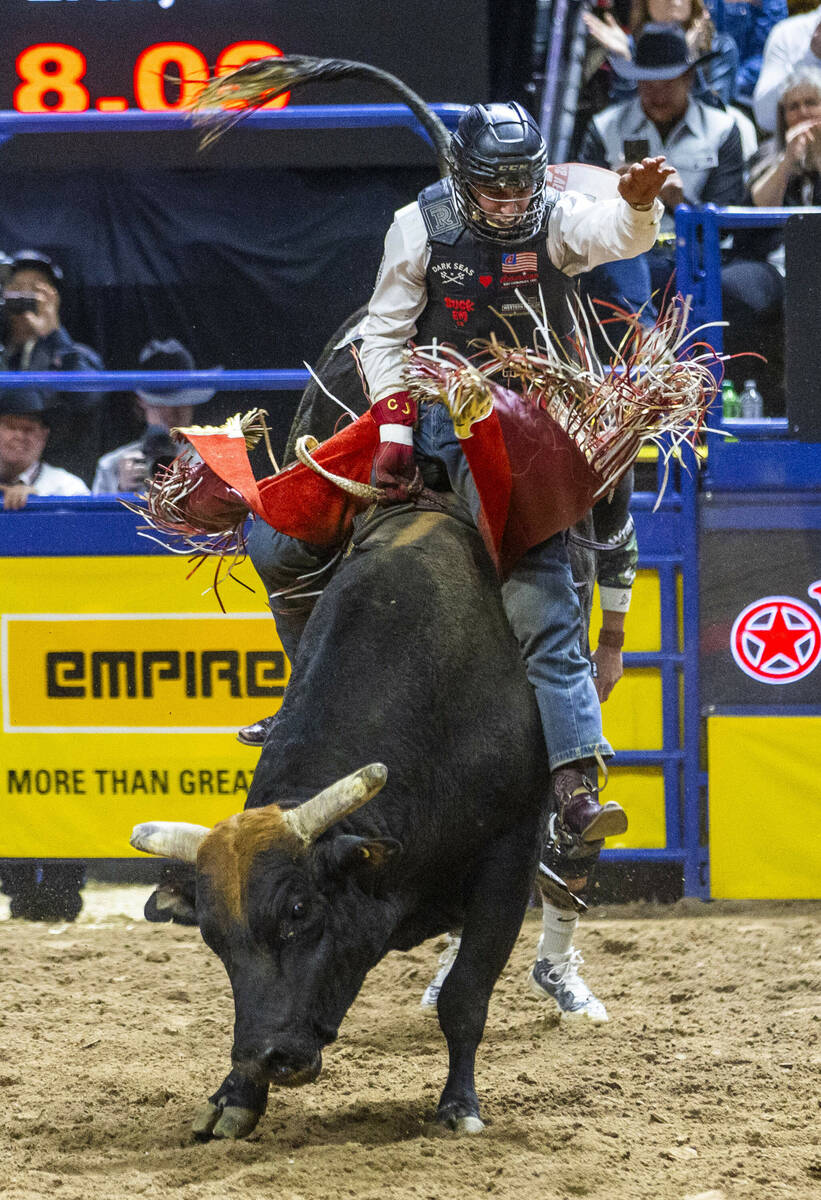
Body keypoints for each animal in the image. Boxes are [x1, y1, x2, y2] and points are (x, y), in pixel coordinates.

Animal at [129, 304, 614, 1137]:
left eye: (300, 910)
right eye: (214, 939)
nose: (270, 1057)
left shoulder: (505, 857)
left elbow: (468, 995)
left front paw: (459, 1107)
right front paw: (233, 1097)